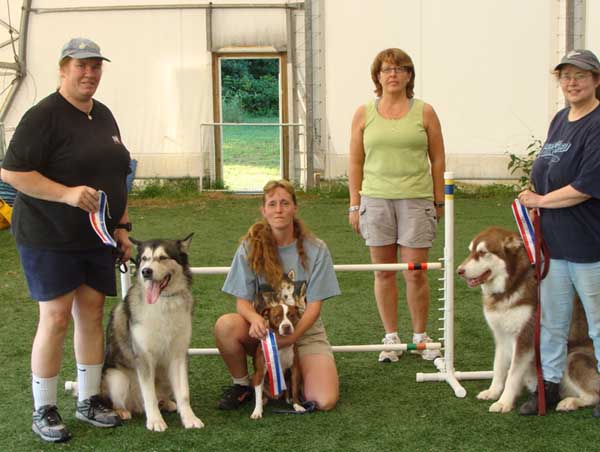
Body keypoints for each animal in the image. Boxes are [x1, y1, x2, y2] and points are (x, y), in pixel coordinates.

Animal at [458, 226, 596, 414]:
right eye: (470, 251)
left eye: (483, 252)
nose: (459, 270)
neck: (511, 286)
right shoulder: (501, 336)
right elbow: (498, 368)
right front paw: (493, 392)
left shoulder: (525, 338)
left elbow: (512, 374)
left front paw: (504, 402)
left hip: (574, 357)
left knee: (594, 395)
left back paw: (571, 402)